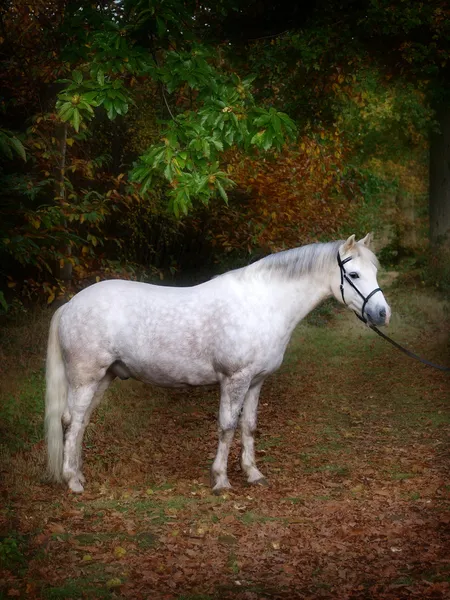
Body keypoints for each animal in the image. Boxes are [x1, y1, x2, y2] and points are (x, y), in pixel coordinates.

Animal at [44, 233, 390, 492]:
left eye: (374, 272)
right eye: (354, 274)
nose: (382, 314)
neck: (263, 303)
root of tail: (70, 305)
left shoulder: (256, 381)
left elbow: (249, 426)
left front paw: (253, 474)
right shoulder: (234, 379)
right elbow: (227, 426)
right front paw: (221, 480)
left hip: (103, 378)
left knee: (81, 422)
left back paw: (79, 474)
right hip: (86, 379)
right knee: (72, 422)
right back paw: (73, 481)